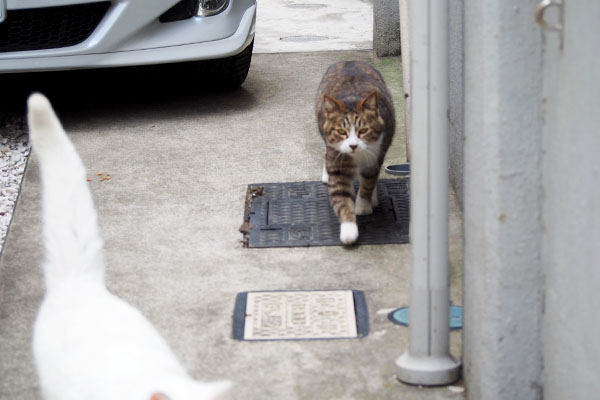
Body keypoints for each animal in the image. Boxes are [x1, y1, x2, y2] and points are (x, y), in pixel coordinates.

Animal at [316, 61, 396, 245]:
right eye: (341, 131)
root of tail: (349, 61)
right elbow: (341, 196)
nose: (353, 145)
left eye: (364, 130)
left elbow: (368, 183)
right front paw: (349, 229)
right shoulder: (337, 161)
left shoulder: (374, 158)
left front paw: (363, 205)